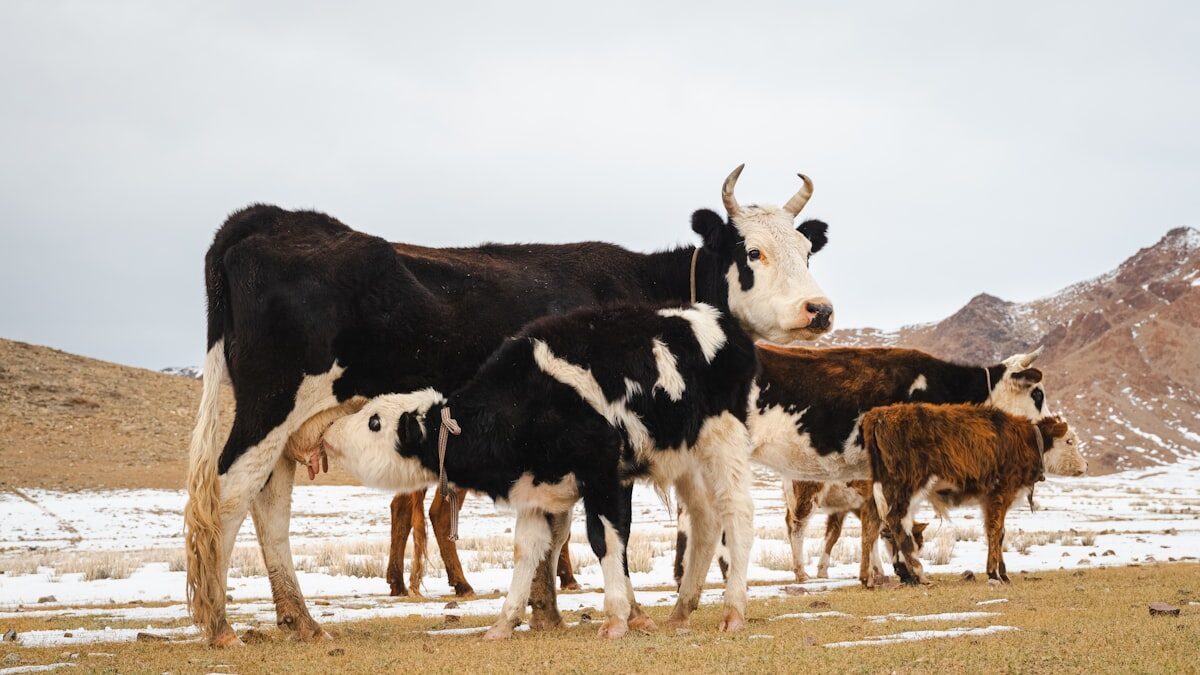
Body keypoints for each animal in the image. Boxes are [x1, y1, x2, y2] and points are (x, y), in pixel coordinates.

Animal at [316, 302, 758, 639]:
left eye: (374, 421)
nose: (330, 430)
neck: (523, 403)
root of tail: (722, 323)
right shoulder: (533, 493)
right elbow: (526, 551)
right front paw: (503, 623)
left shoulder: (604, 474)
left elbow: (605, 539)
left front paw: (616, 618)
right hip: (688, 460)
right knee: (705, 520)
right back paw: (682, 610)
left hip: (725, 442)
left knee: (736, 513)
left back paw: (734, 610)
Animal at [673, 344, 1051, 587]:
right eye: (1038, 394)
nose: (1046, 429)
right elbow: (895, 518)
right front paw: (908, 571)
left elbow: (877, 522)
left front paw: (882, 572)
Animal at [864, 403, 1087, 585]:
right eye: (1069, 441)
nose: (1086, 465)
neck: (1027, 441)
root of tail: (879, 415)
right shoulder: (1001, 493)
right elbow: (996, 531)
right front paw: (994, 574)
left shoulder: (988, 500)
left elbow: (998, 532)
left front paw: (1003, 573)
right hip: (907, 486)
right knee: (898, 522)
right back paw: (918, 573)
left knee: (884, 525)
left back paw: (903, 574)